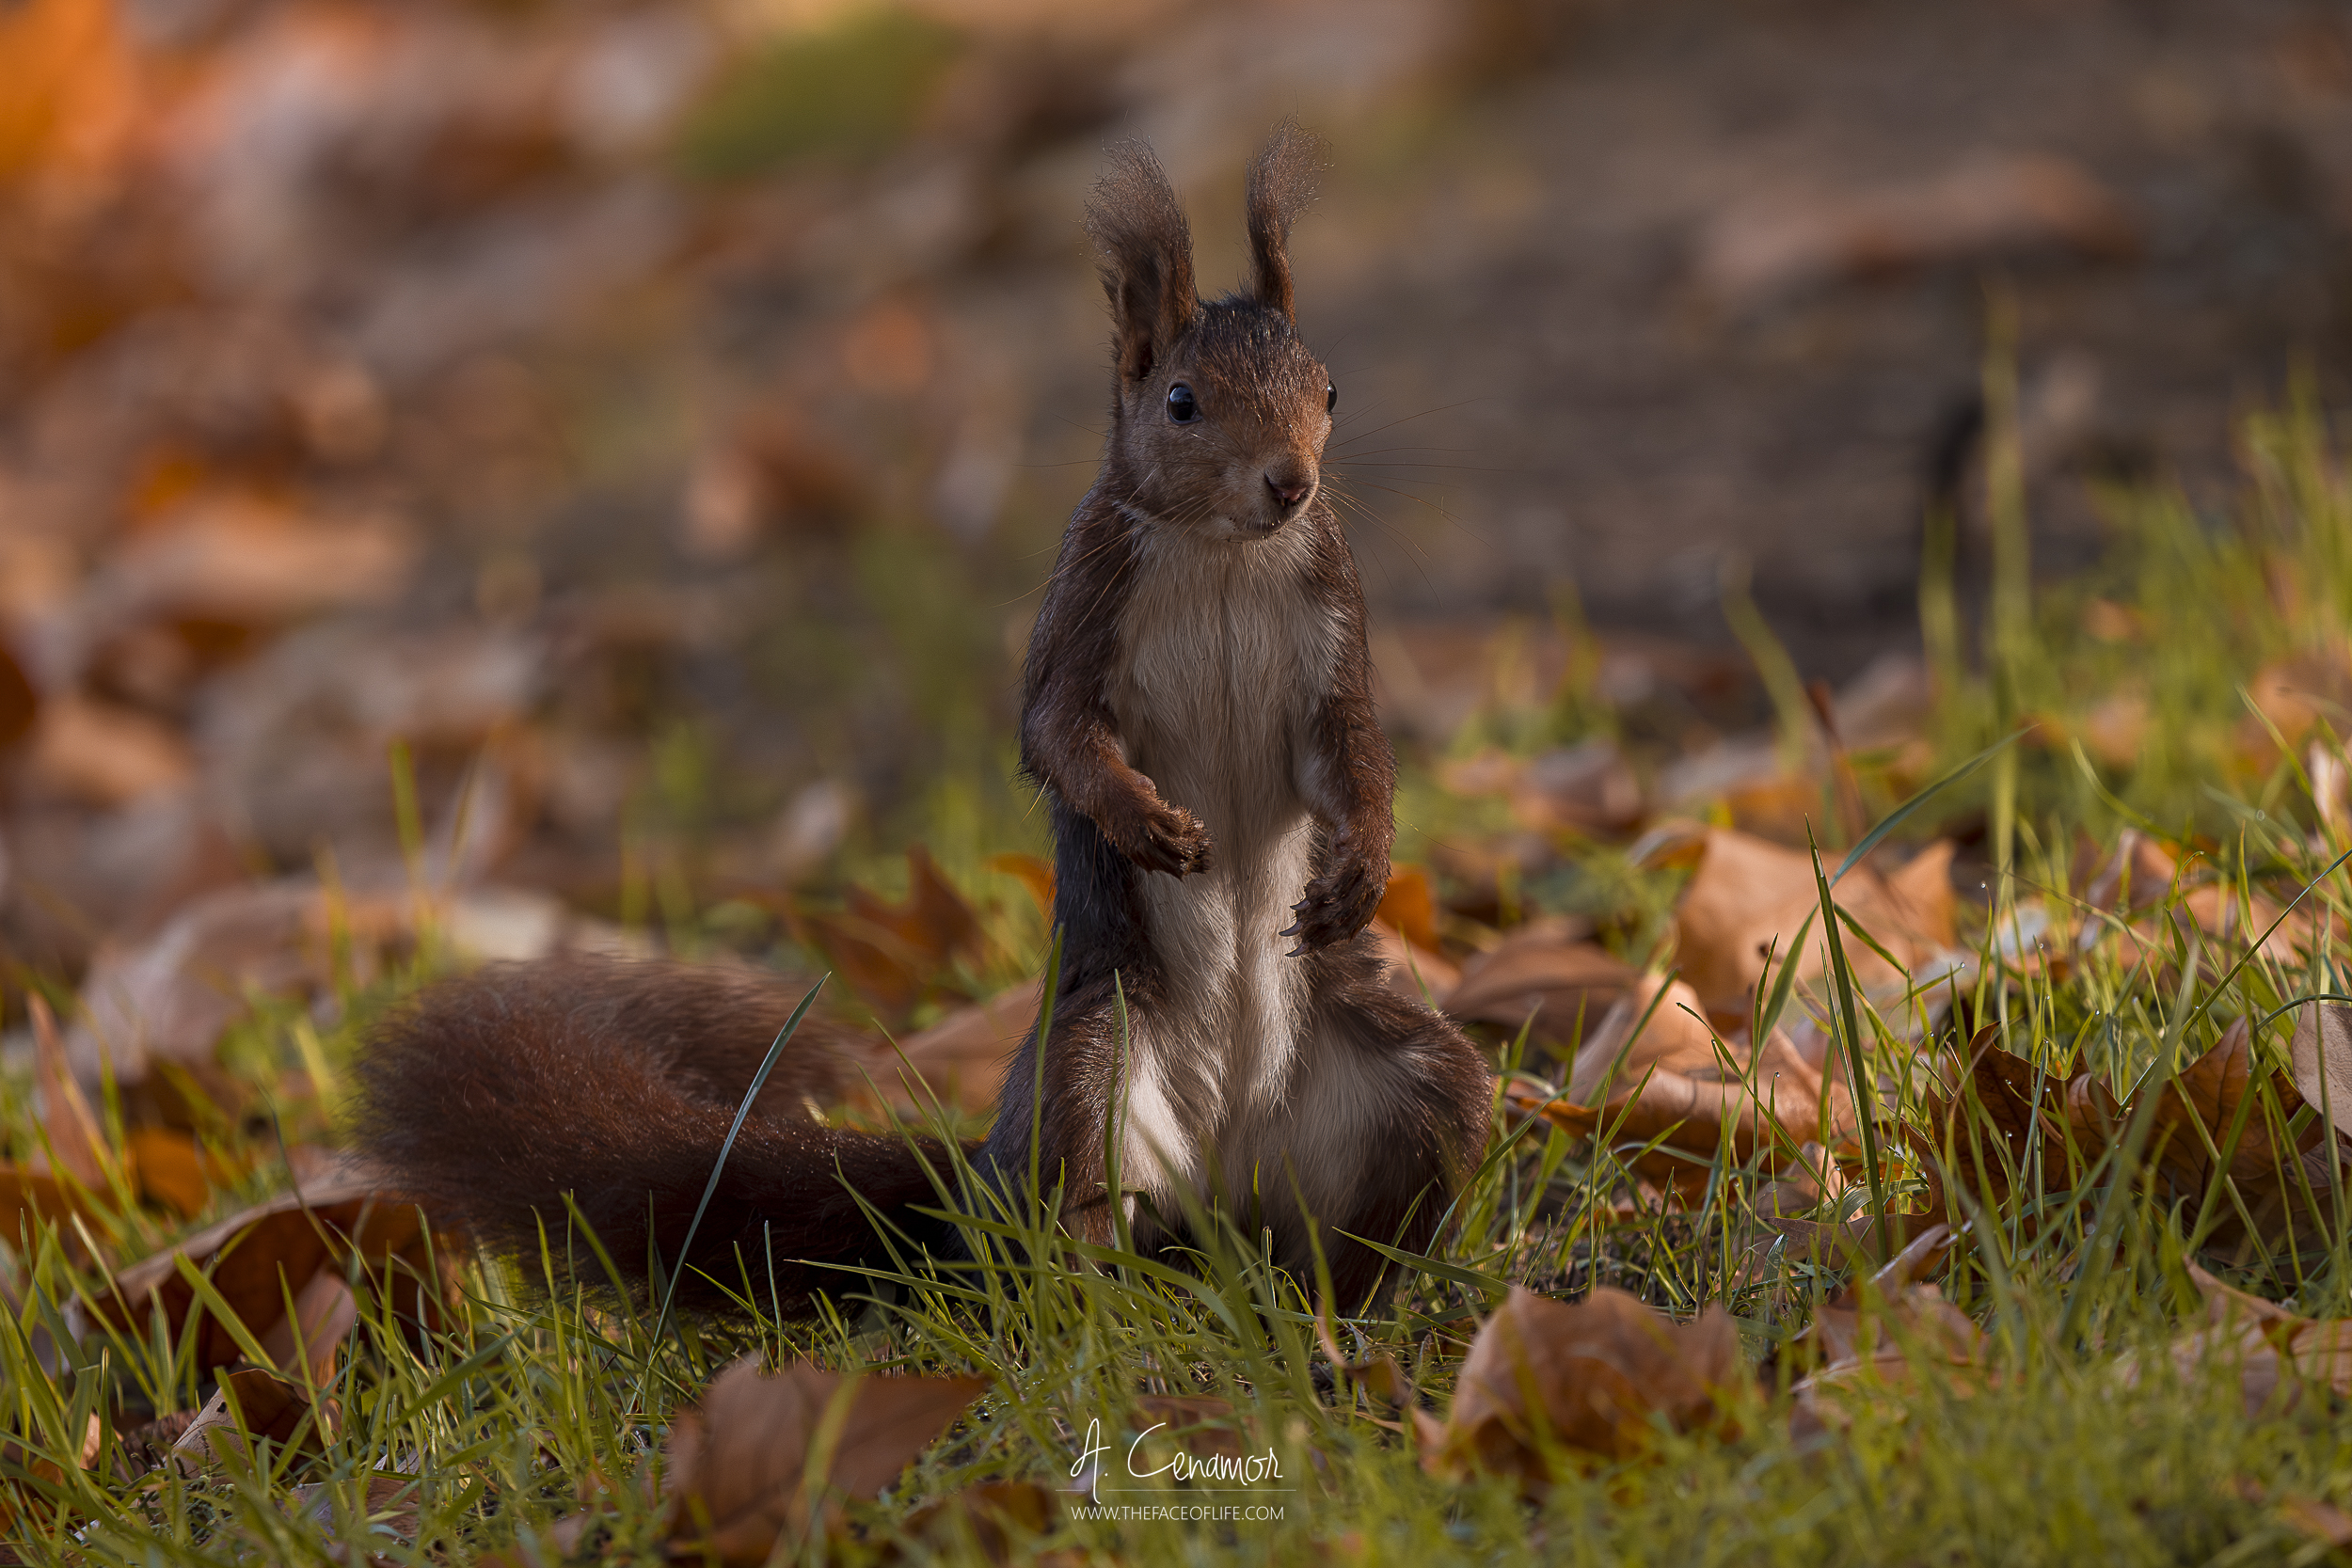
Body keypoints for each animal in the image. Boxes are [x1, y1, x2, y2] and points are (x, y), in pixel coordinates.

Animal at [354, 125, 1494, 1317]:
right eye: (1181, 401)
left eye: (1329, 388)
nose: (1289, 483)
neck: (1224, 552)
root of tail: (1225, 1174)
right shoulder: (1085, 609)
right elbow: (1058, 734)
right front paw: (1144, 821)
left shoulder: (1330, 624)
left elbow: (1351, 757)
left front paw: (1360, 869)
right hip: (1090, 1074)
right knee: (1070, 1211)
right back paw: (1108, 1311)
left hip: (1412, 1082)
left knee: (1403, 1158)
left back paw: (1354, 1297)